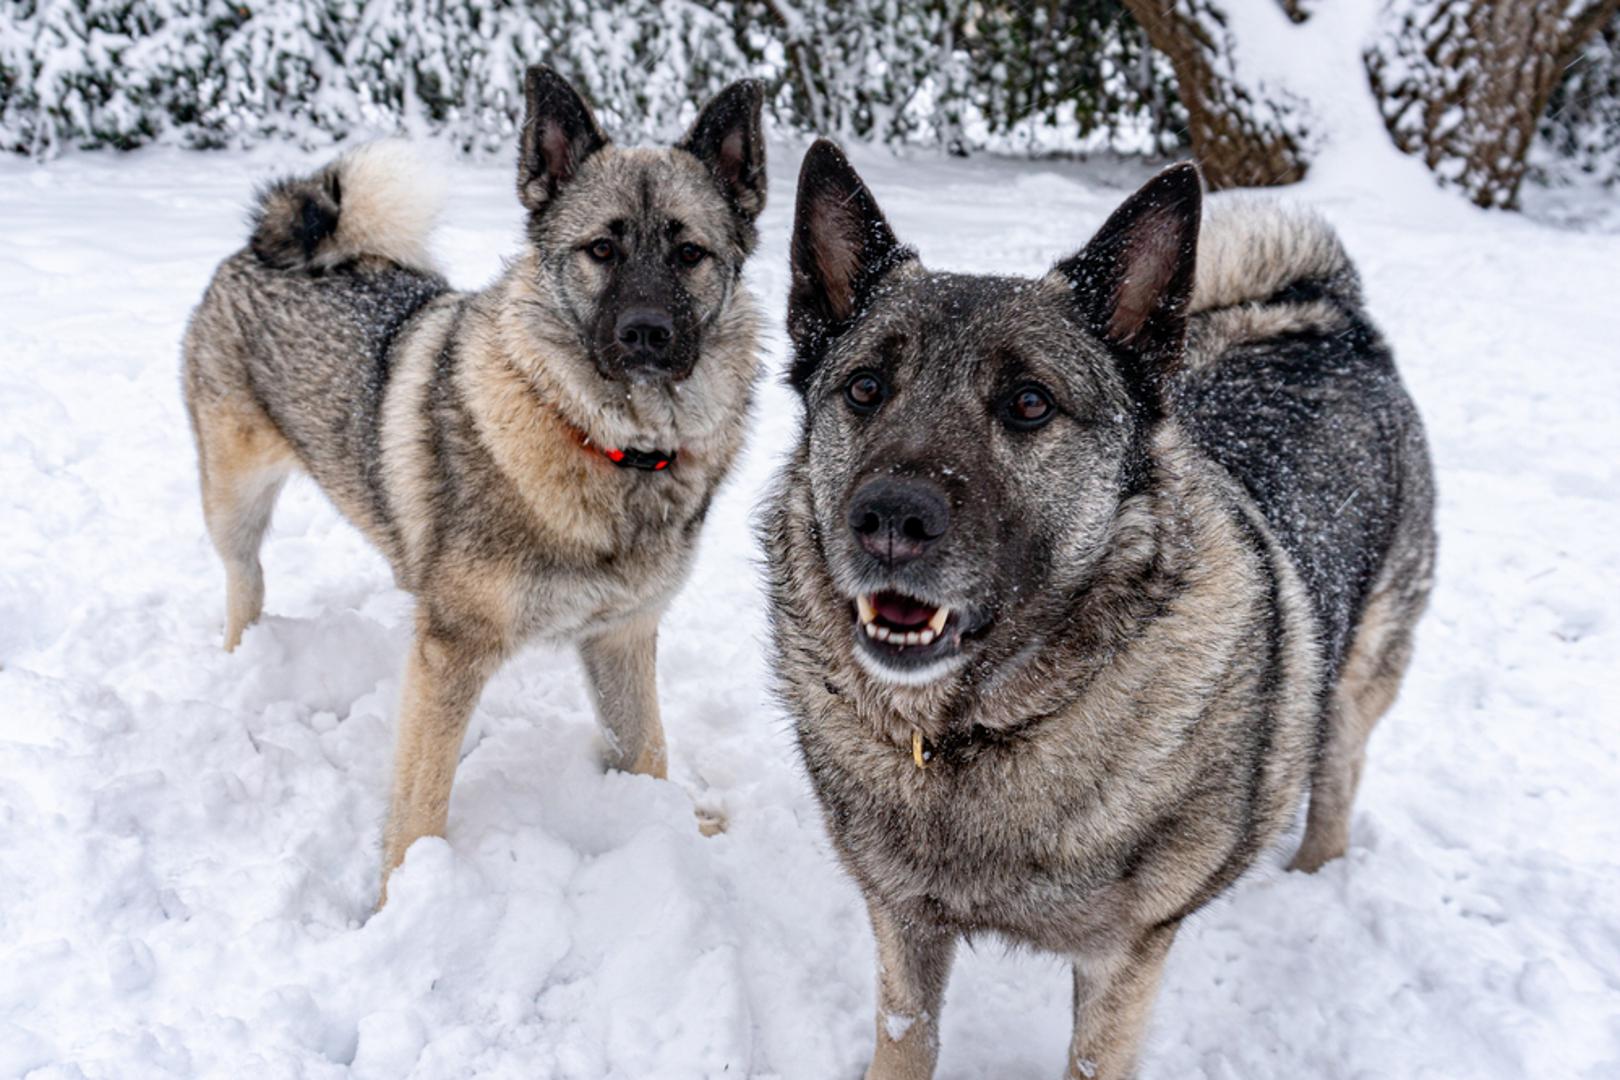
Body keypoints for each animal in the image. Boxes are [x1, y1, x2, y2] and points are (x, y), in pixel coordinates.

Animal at [764, 143, 1438, 1080]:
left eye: (1030, 403)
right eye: (864, 388)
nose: (889, 519)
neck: (975, 733)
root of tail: (1330, 322)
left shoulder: (1123, 963)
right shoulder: (903, 929)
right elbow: (906, 1039)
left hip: (1350, 696)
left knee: (1332, 797)